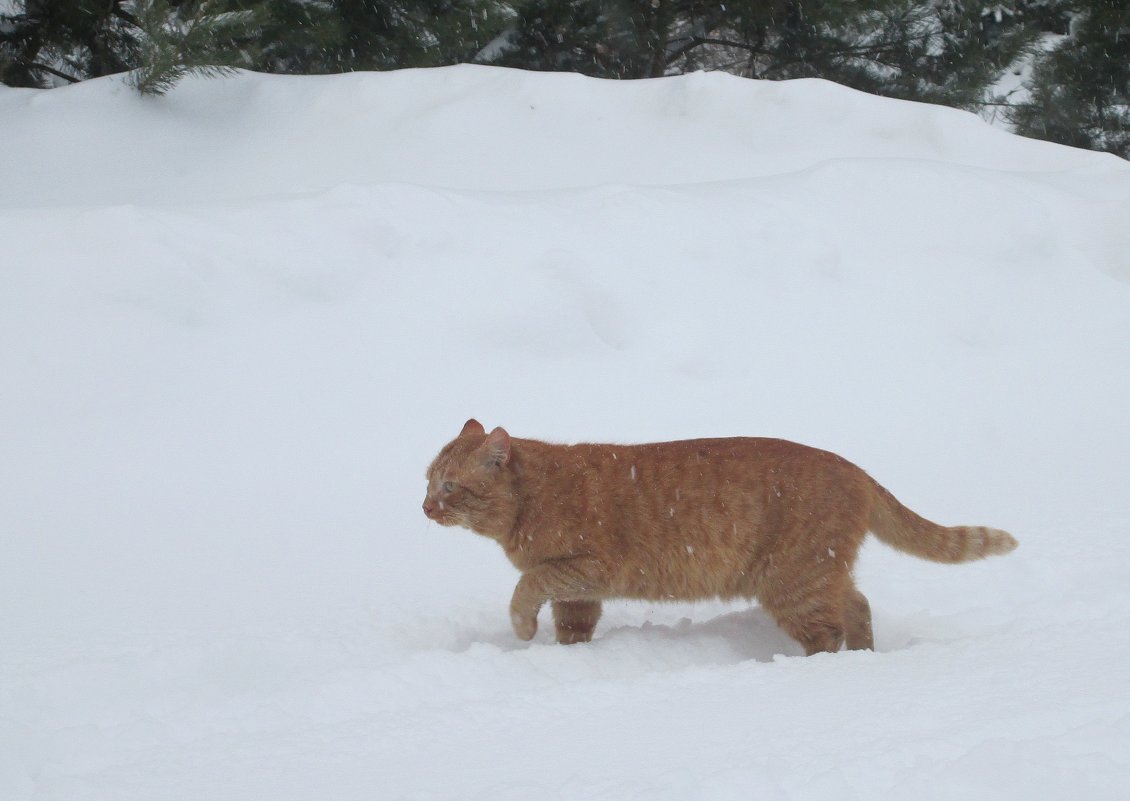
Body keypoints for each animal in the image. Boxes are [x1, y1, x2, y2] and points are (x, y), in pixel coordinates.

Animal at [422, 418, 1017, 650]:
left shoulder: (585, 569)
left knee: (828, 633)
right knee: (858, 606)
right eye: (427, 479)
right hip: (818, 575)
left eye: (449, 485)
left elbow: (526, 589)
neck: (531, 500)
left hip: (793, 582)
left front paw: (522, 630)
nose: (425, 506)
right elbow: (572, 629)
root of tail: (854, 469)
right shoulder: (580, 594)